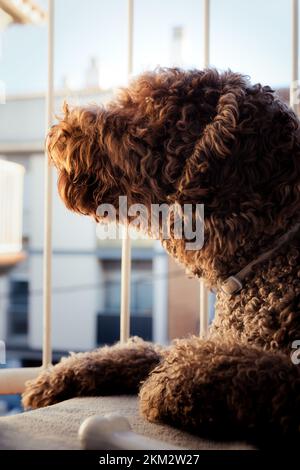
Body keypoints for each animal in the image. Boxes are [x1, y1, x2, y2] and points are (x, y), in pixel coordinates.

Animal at [22, 68, 300, 446]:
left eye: (147, 107)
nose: (60, 128)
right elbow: (141, 351)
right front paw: (58, 376)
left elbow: (241, 367)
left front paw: (174, 381)